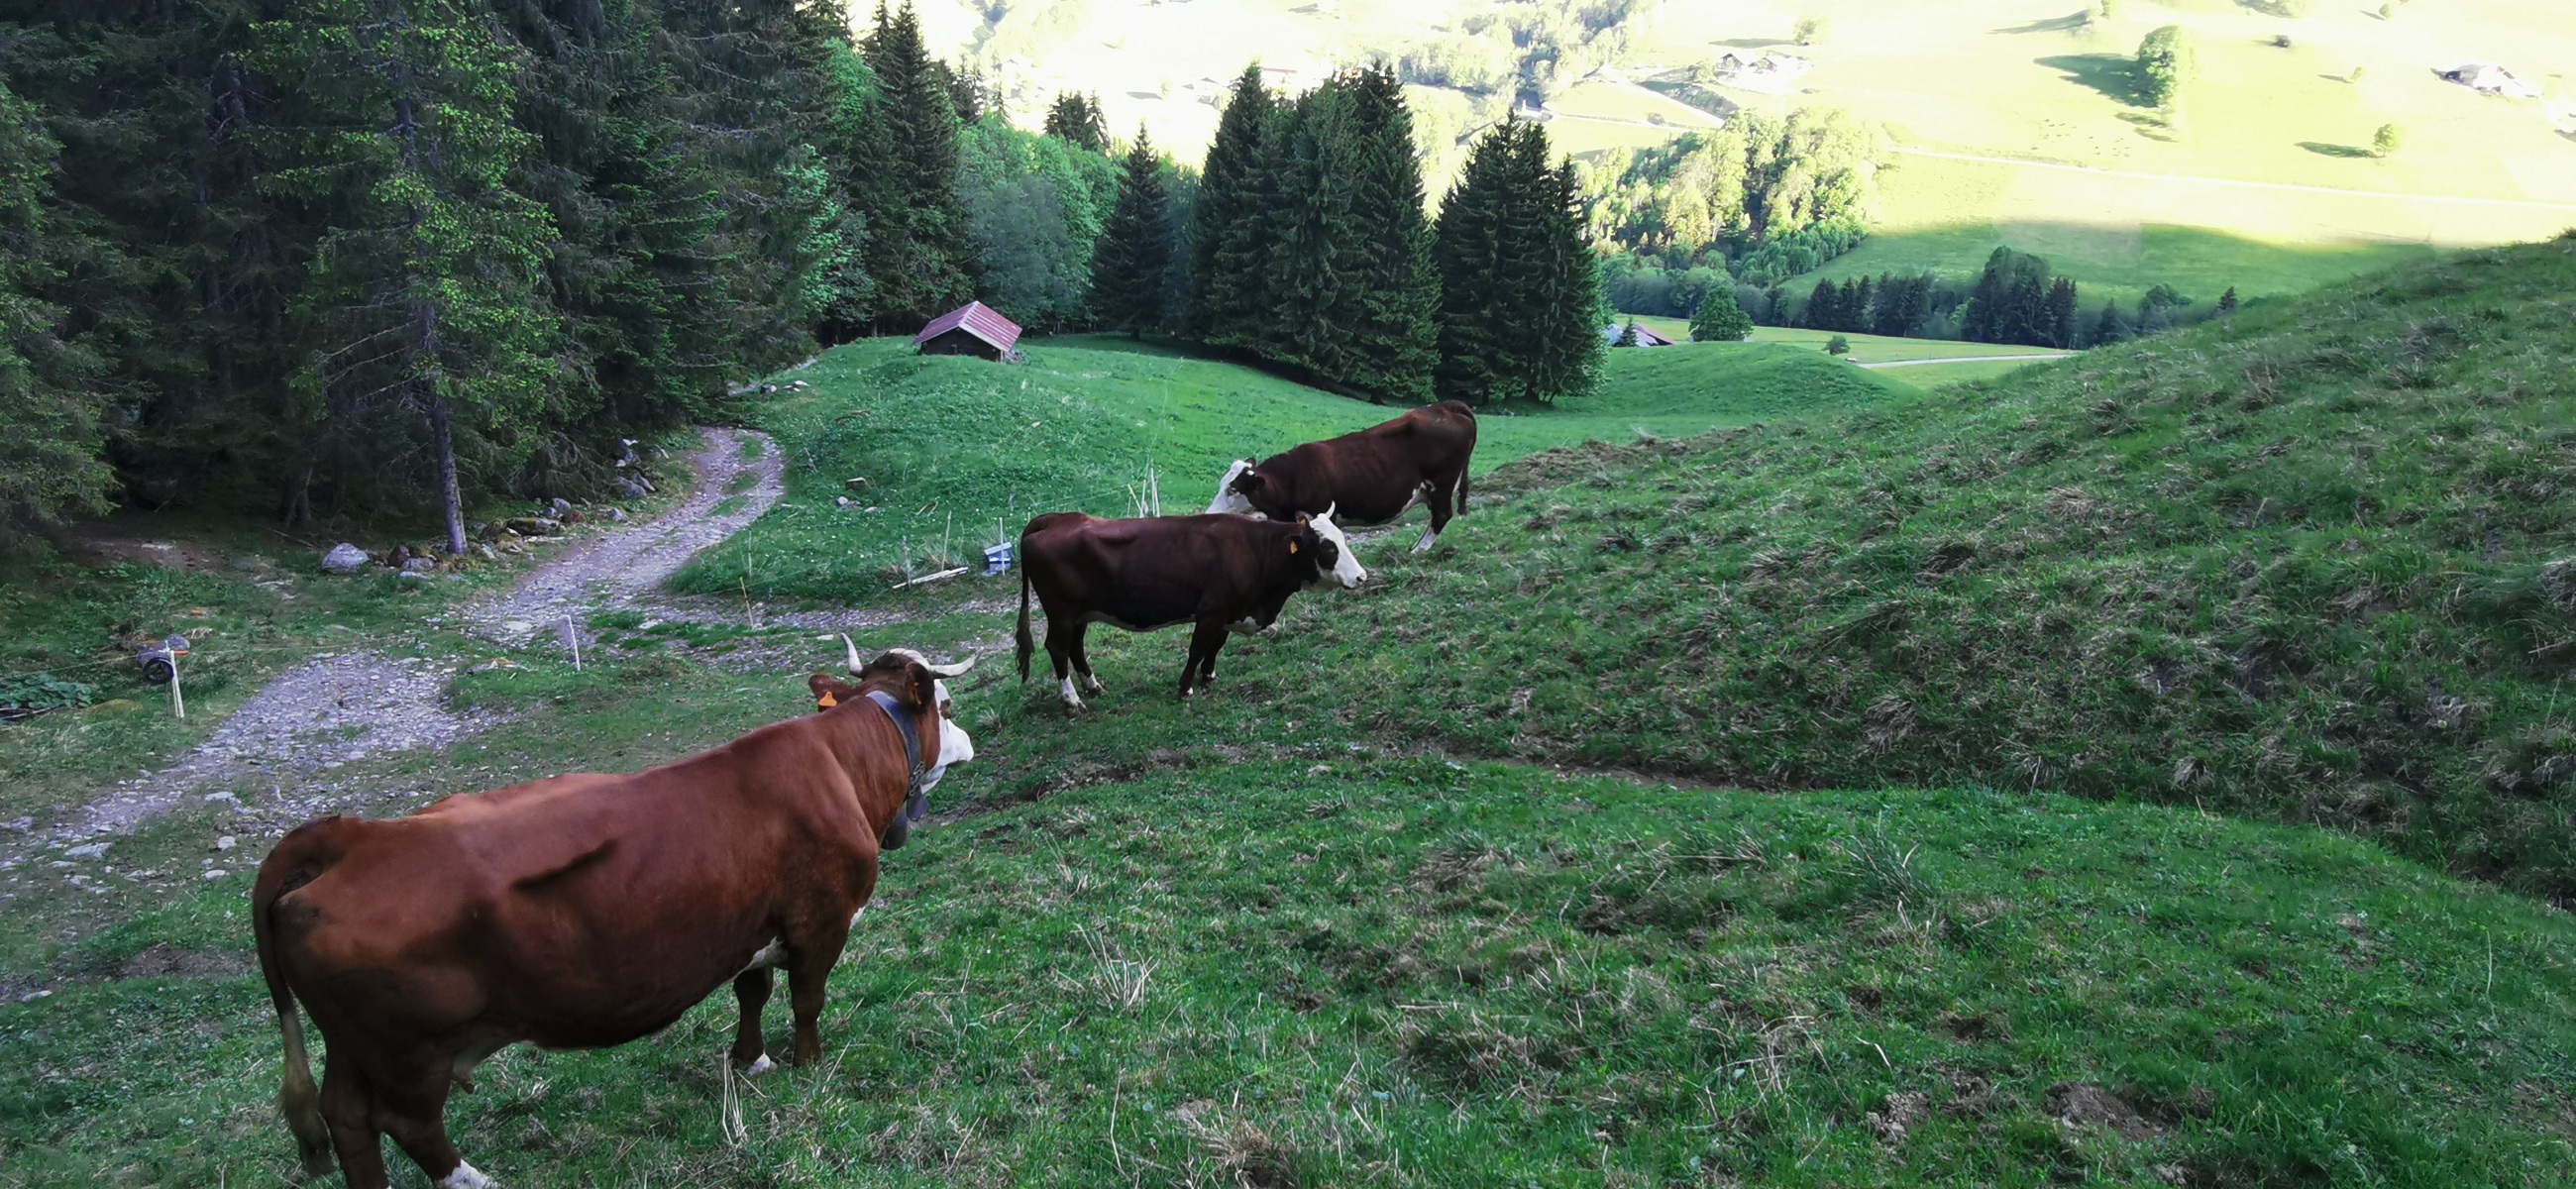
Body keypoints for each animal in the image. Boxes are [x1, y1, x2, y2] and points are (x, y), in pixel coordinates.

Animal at [250, 639, 974, 1189]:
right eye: (944, 705)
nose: (966, 740)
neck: (840, 764)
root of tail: (353, 836)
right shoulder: (821, 920)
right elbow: (806, 998)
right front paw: (807, 1066)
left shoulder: (751, 924)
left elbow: (753, 990)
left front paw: (751, 1062)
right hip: (410, 1052)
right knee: (407, 1124)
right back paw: (473, 1179)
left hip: (355, 1047)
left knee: (346, 1118)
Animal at [1014, 508, 1364, 708]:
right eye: (1328, 547)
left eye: (1343, 539)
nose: (1361, 576)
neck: (1255, 550)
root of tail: (1053, 519)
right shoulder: (1211, 611)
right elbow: (1197, 648)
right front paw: (1185, 688)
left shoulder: (1228, 612)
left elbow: (1216, 646)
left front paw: (1208, 676)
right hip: (1062, 613)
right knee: (1057, 648)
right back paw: (1071, 699)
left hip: (1080, 614)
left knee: (1075, 647)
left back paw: (1093, 686)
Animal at [1207, 400, 1477, 553]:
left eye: (1233, 489)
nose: (1208, 515)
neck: (1291, 478)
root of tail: (1446, 407)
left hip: (1441, 483)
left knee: (1441, 515)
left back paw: (1418, 551)